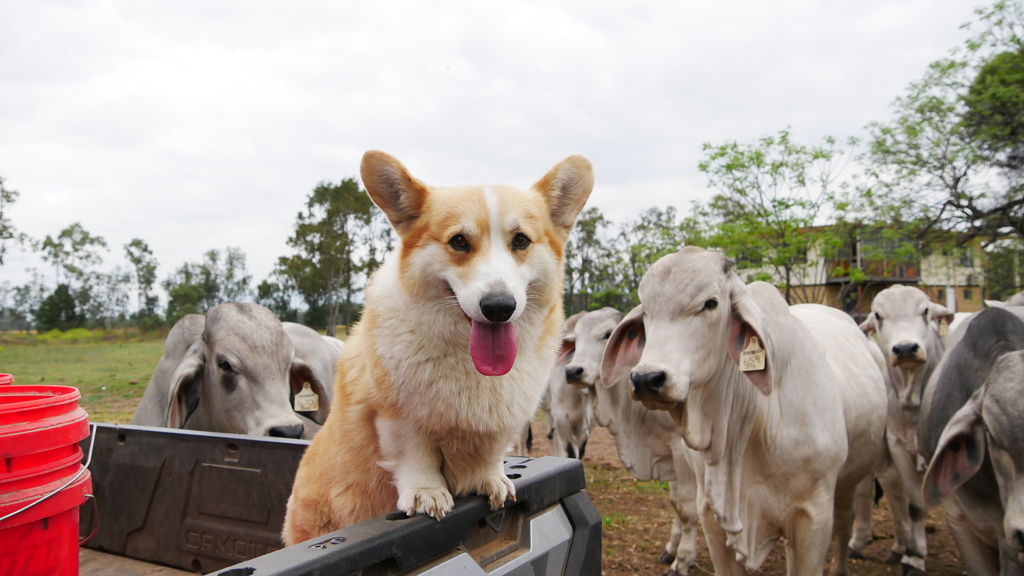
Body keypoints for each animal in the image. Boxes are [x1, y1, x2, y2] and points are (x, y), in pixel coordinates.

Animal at [284, 148, 598, 541]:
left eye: (521, 241)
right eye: (459, 241)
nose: (499, 307)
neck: (465, 355)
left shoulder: (501, 422)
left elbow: (490, 455)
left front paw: (491, 479)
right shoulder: (395, 414)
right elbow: (415, 455)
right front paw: (427, 494)